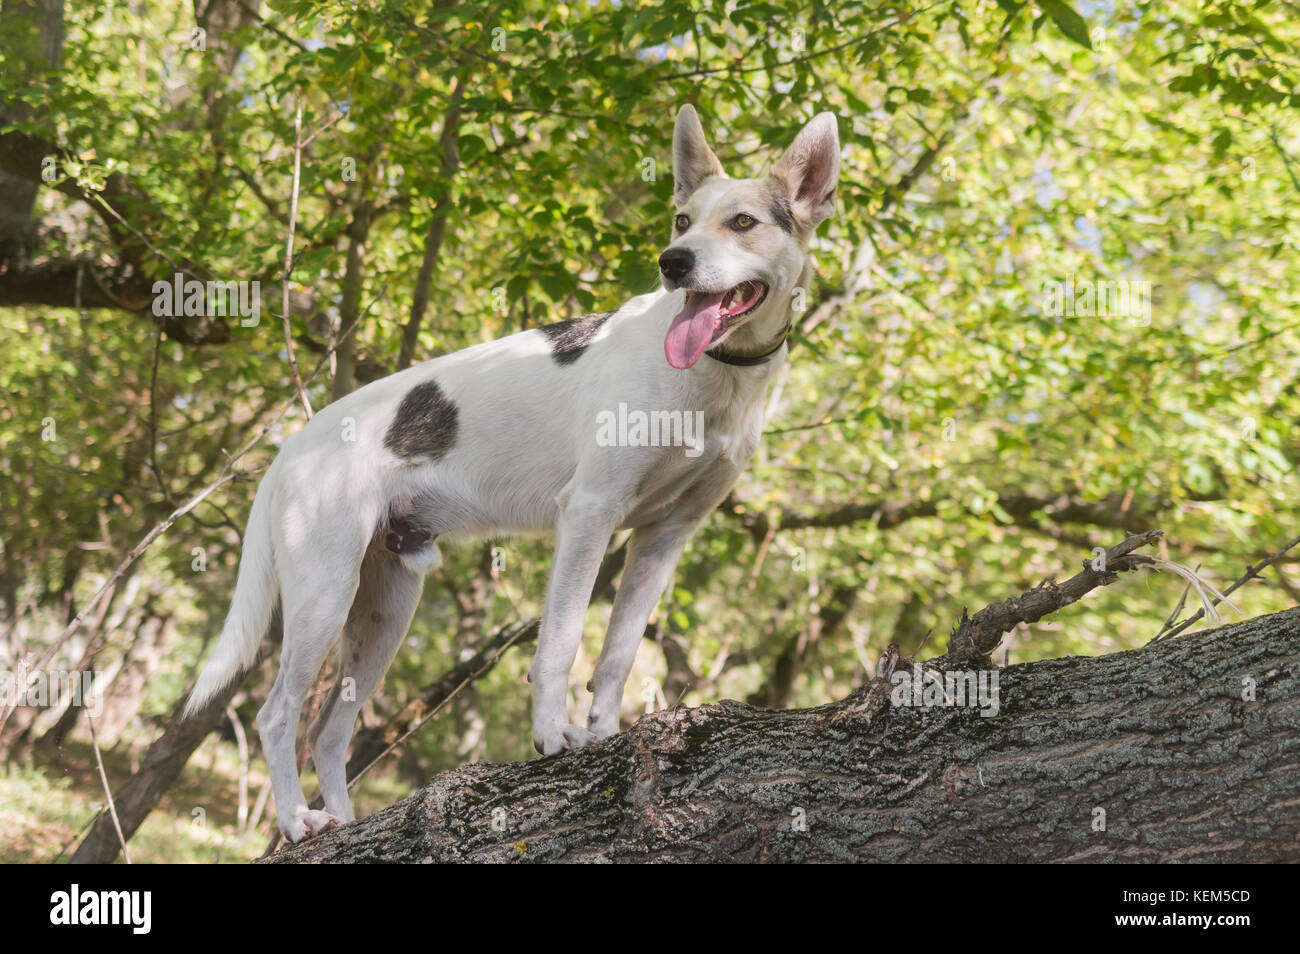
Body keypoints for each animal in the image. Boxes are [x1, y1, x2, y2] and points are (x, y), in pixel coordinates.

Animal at [185, 104, 842, 842]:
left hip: (385, 611)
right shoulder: (590, 513)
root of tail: (291, 447)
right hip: (324, 593)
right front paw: (553, 736)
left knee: (328, 731)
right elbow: (560, 643)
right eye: (682, 220)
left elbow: (617, 653)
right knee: (276, 715)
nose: (673, 264)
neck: (718, 374)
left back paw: (350, 822)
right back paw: (299, 821)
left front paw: (605, 731)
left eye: (742, 222)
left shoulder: (664, 537)